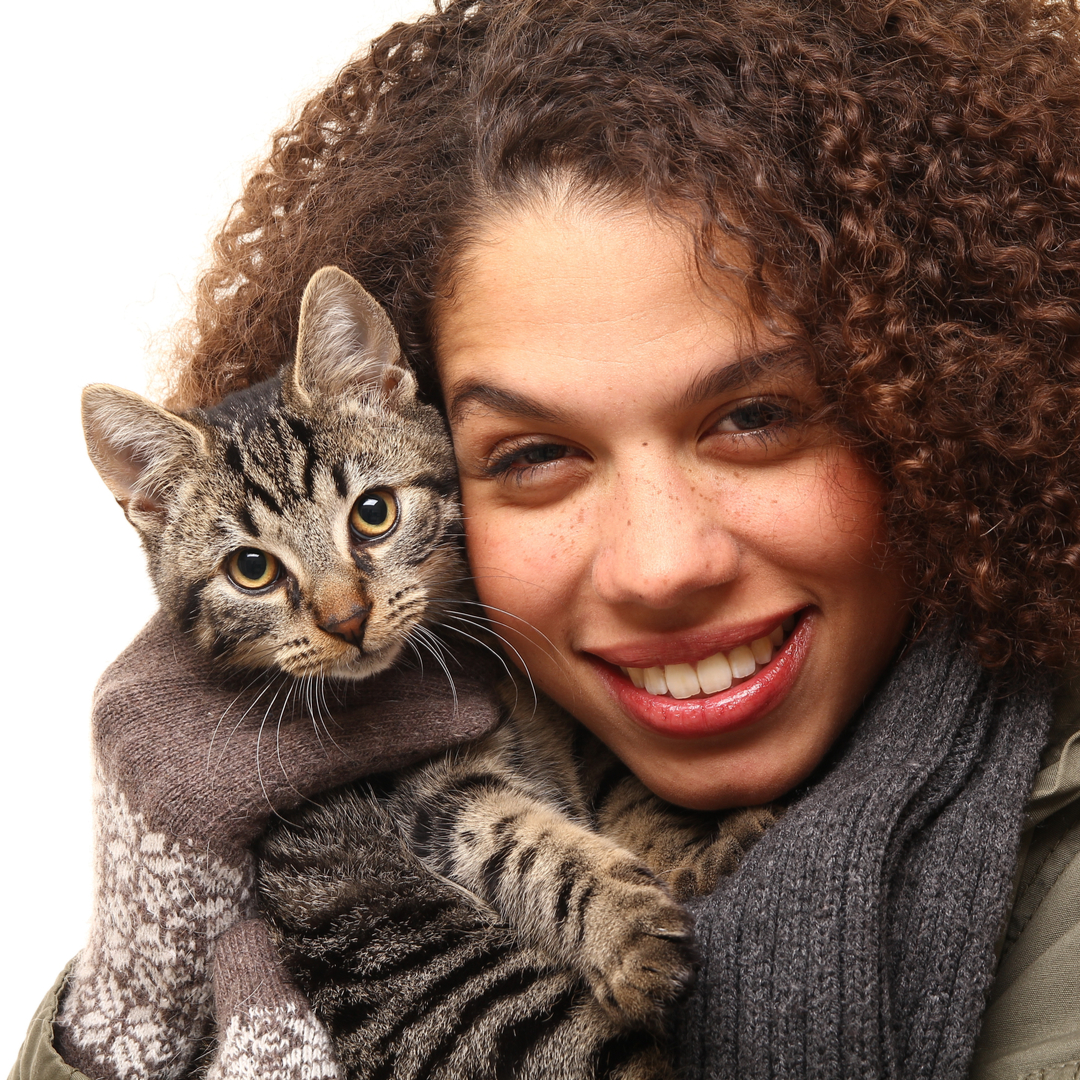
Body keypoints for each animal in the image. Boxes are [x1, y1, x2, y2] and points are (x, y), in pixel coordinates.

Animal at [84, 267, 777, 1080]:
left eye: (373, 513)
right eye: (251, 569)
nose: (345, 618)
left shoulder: (568, 726)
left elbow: (625, 785)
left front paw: (687, 849)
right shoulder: (420, 794)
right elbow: (519, 840)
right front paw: (623, 924)